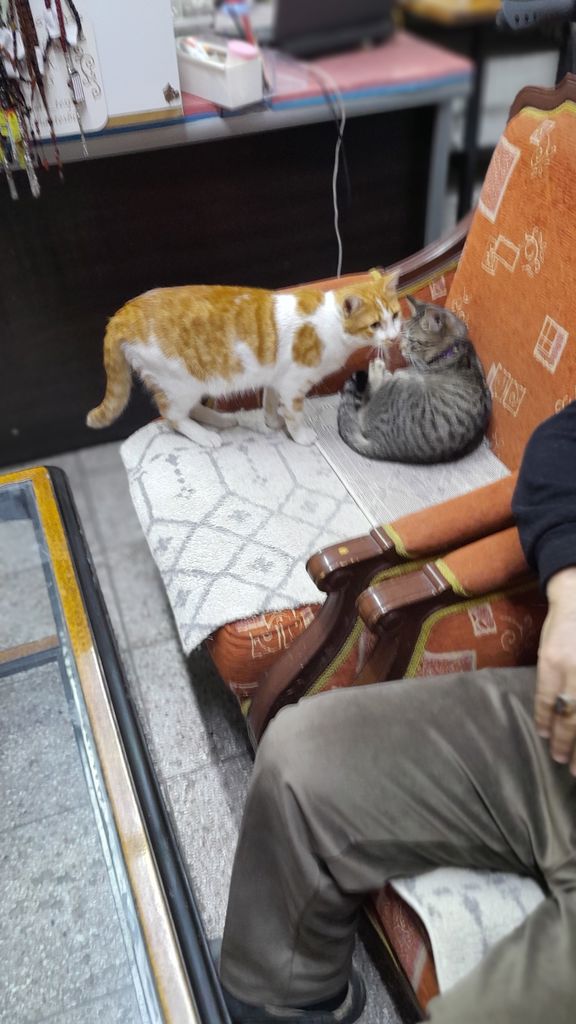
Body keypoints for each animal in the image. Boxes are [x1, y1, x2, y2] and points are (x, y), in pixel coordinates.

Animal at [86, 270, 400, 448]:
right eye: (375, 325)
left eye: (395, 316)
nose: (395, 336)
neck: (328, 324)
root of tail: (122, 314)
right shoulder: (294, 384)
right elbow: (294, 414)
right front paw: (299, 435)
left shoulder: (276, 378)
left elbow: (270, 401)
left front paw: (272, 421)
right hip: (181, 382)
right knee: (172, 415)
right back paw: (205, 436)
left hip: (190, 385)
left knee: (188, 410)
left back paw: (220, 420)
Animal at [337, 296, 491, 463]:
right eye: (403, 335)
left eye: (413, 341)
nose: (400, 348)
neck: (452, 350)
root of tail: (383, 447)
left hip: (397, 386)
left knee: (363, 409)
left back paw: (378, 371)